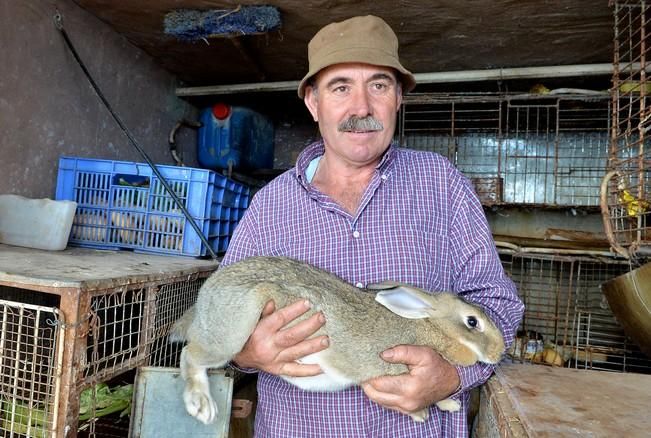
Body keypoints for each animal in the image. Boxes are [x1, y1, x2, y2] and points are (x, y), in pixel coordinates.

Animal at [169, 256, 504, 424]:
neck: (428, 325)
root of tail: (206, 293)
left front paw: (451, 405)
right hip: (234, 329)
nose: (500, 352)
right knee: (191, 354)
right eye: (472, 322)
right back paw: (201, 405)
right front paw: (421, 414)